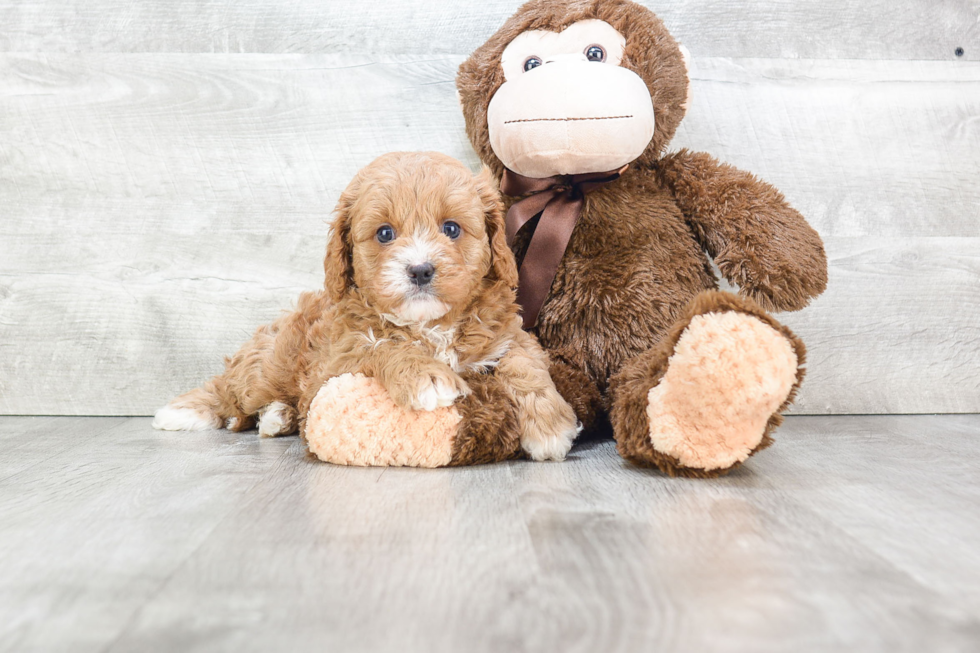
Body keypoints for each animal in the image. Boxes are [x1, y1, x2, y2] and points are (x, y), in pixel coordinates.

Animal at [154, 150, 580, 466]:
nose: (420, 269)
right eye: (385, 233)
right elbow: (383, 345)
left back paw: (278, 417)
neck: (430, 325)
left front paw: (549, 425)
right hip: (269, 366)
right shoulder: (339, 356)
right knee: (231, 388)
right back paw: (190, 410)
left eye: (452, 229)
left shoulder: (506, 334)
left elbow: (524, 363)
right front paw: (426, 376)